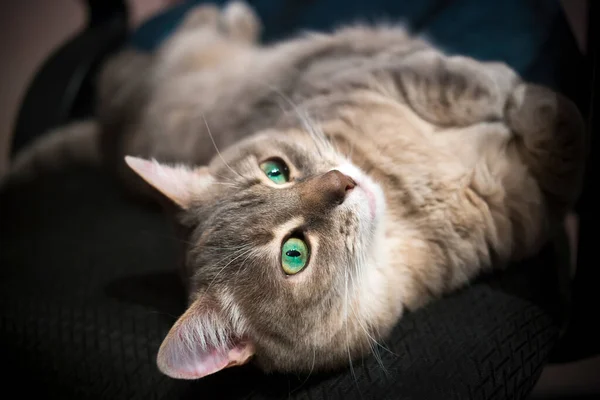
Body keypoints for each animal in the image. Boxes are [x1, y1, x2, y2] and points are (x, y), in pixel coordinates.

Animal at [9, 0, 584, 382]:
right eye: (294, 254)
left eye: (276, 170)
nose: (342, 183)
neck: (406, 204)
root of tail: (107, 133)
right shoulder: (521, 210)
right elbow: (553, 141)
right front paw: (545, 113)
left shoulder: (382, 71)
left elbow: (464, 79)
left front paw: (520, 97)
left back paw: (236, 17)